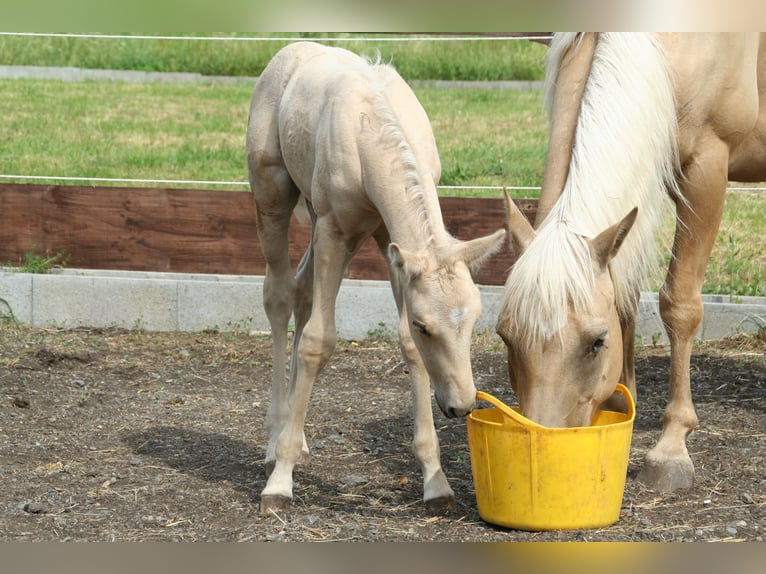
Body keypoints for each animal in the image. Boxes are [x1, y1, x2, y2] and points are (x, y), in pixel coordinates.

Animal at [246, 41, 506, 513]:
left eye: (477, 321)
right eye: (427, 326)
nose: (461, 407)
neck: (368, 127)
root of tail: (290, 51)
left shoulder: (391, 240)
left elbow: (403, 345)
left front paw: (436, 482)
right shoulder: (335, 229)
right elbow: (318, 341)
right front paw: (280, 482)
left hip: (315, 216)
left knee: (302, 293)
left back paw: (298, 436)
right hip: (272, 192)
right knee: (278, 295)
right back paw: (276, 440)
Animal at [497, 33, 766, 492]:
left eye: (596, 342)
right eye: (506, 337)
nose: (545, 441)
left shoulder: (706, 170)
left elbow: (679, 304)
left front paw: (671, 447)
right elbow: (626, 299)